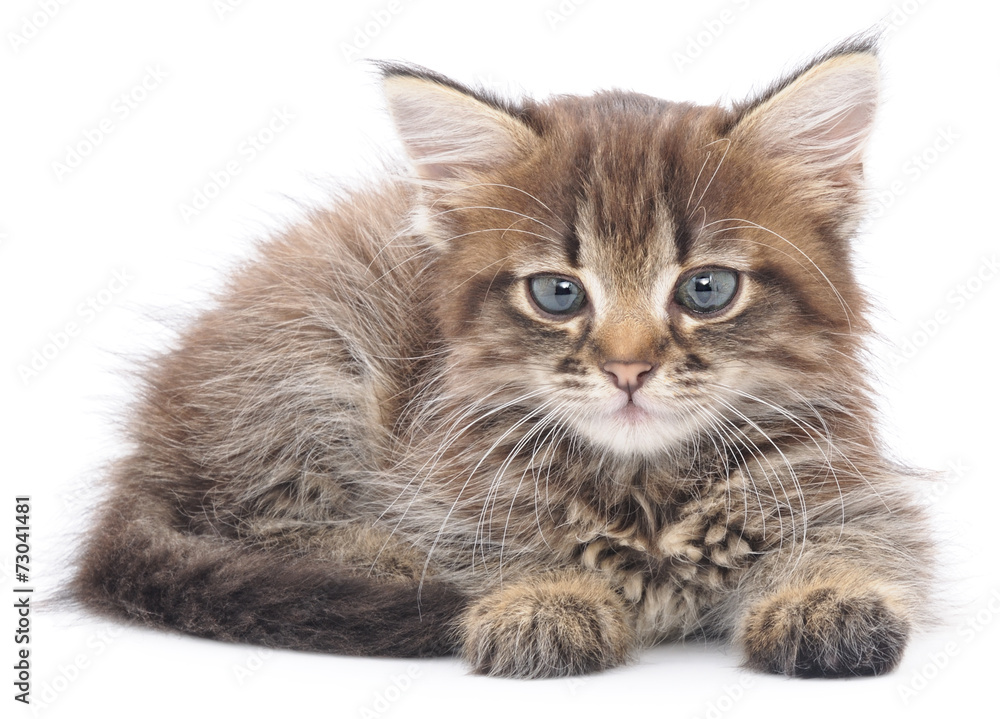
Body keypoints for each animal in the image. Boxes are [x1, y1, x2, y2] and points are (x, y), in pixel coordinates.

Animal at [68, 38, 928, 680]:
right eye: (557, 293)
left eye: (707, 288)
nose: (627, 368)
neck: (645, 489)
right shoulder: (445, 466)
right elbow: (484, 543)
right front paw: (538, 593)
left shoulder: (845, 481)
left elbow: (854, 539)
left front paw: (828, 594)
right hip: (307, 362)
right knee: (245, 518)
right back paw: (382, 560)